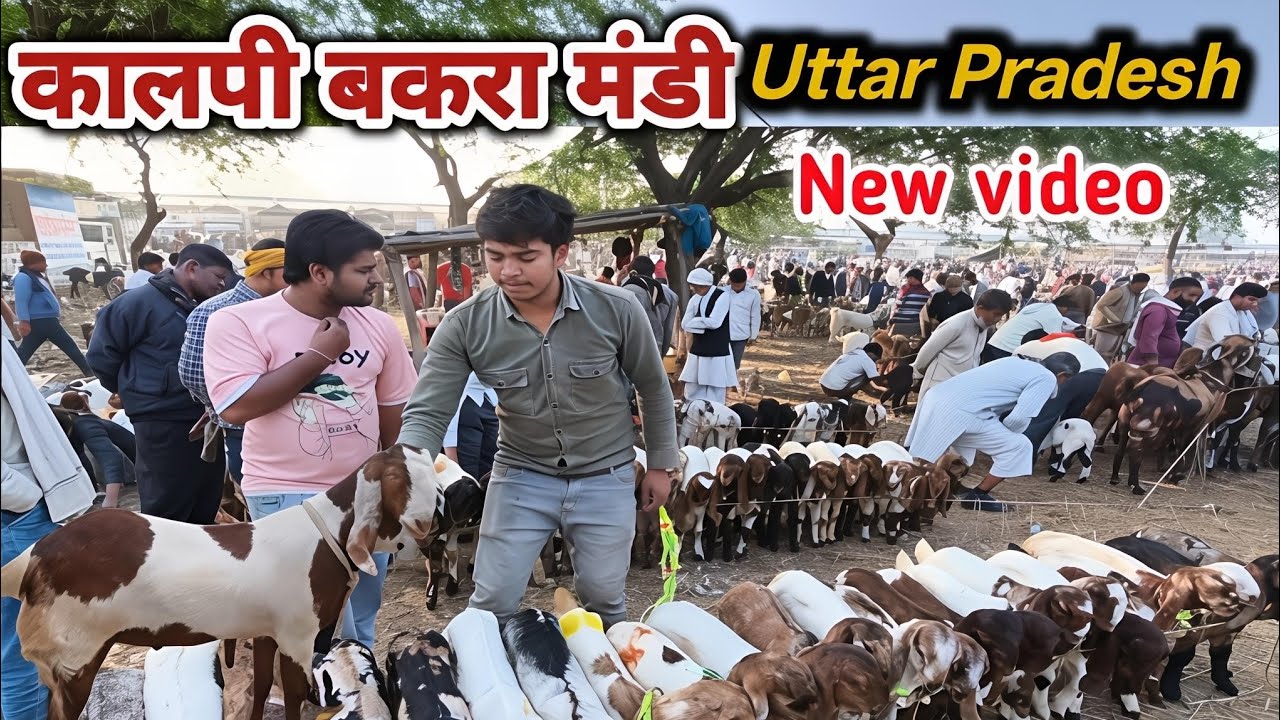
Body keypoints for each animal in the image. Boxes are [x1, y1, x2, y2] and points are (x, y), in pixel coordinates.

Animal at [0, 445, 441, 720]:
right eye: (403, 480)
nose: (435, 519)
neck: (326, 535)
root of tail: (34, 557)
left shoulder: (265, 632)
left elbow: (262, 688)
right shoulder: (296, 636)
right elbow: (294, 696)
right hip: (74, 660)